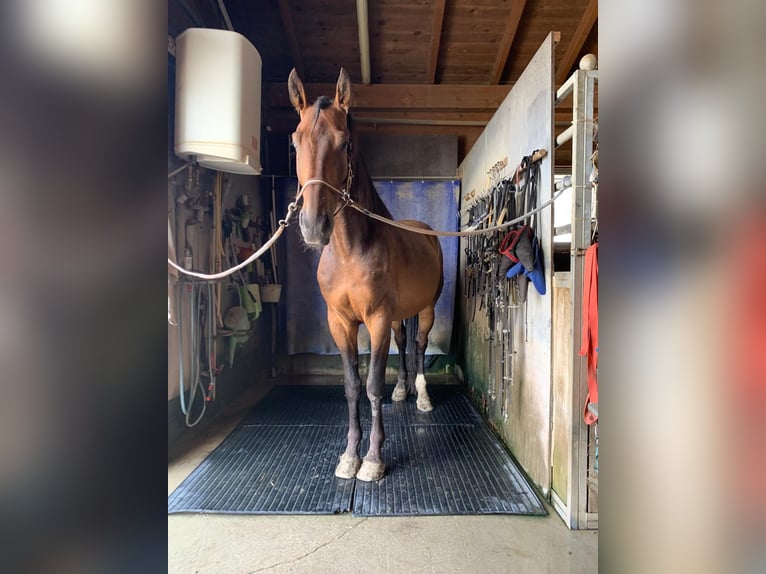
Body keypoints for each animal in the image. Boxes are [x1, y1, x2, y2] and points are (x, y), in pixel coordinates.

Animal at [288, 66, 444, 482]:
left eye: (344, 144)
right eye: (295, 143)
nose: (313, 226)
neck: (349, 252)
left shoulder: (375, 320)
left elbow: (373, 384)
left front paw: (373, 459)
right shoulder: (340, 322)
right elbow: (352, 386)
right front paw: (349, 455)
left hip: (426, 309)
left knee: (419, 345)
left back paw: (422, 396)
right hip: (398, 317)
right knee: (403, 341)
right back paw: (403, 390)